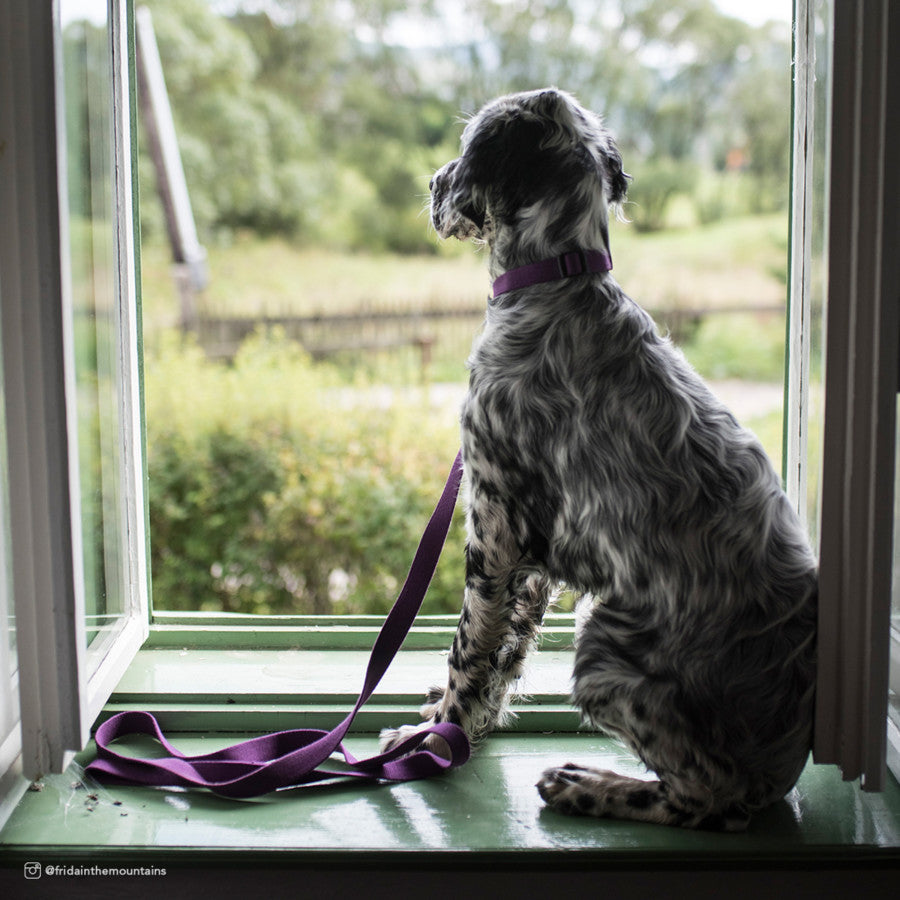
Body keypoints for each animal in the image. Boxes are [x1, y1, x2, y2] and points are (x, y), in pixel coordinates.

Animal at [380, 88, 816, 832]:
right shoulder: (535, 557)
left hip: (604, 651)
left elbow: (471, 645)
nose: (432, 184)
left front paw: (436, 735)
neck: (558, 280)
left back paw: (589, 785)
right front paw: (465, 725)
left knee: (706, 796)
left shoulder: (494, 526)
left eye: (464, 152)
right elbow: (507, 652)